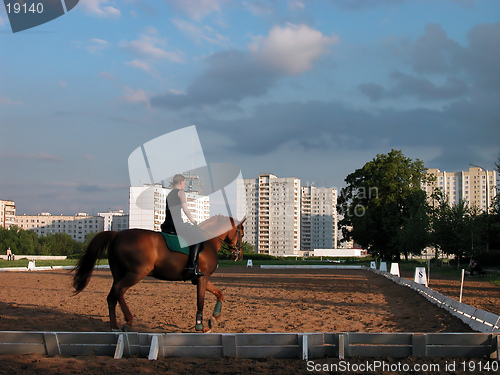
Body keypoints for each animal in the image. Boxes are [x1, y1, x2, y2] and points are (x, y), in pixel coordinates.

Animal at [73, 216, 245, 334]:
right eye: (242, 233)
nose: (239, 254)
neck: (208, 241)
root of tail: (117, 234)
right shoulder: (203, 277)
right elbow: (200, 301)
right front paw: (200, 325)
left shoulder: (204, 278)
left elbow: (220, 293)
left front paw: (213, 319)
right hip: (137, 272)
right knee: (119, 291)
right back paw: (128, 322)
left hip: (119, 274)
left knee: (112, 297)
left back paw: (114, 327)